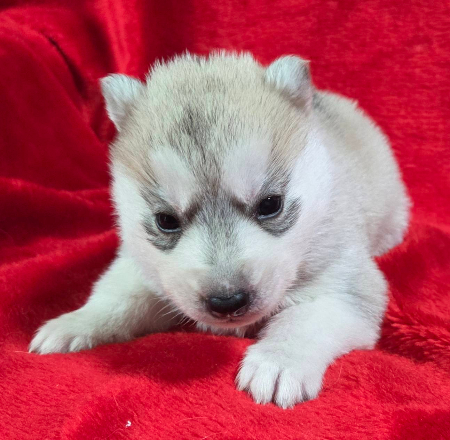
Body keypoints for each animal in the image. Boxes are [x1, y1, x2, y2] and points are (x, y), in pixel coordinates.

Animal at [30, 52, 410, 408]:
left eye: (270, 204)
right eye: (166, 220)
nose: (227, 301)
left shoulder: (346, 286)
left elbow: (305, 319)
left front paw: (279, 361)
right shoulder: (140, 264)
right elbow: (117, 298)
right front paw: (76, 322)